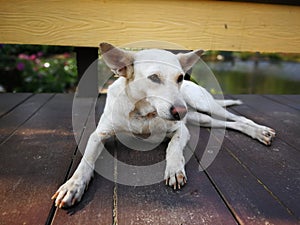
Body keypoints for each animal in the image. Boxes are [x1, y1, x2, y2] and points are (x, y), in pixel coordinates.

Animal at [51, 42, 274, 207]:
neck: (142, 114)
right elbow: (86, 160)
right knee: (224, 124)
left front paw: (174, 169)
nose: (180, 111)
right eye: (154, 78)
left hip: (203, 105)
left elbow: (173, 147)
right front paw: (73, 185)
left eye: (180, 77)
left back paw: (260, 131)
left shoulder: (181, 130)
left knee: (238, 119)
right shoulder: (99, 135)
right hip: (199, 117)